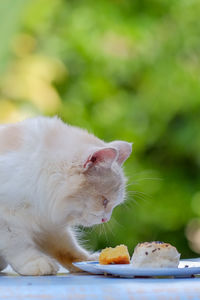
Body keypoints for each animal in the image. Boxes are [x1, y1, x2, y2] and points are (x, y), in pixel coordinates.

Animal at [0, 116, 132, 276]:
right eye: (104, 201)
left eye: (112, 204)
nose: (105, 219)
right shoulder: (8, 220)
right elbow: (18, 245)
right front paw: (35, 262)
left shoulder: (49, 223)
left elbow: (68, 248)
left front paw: (86, 261)